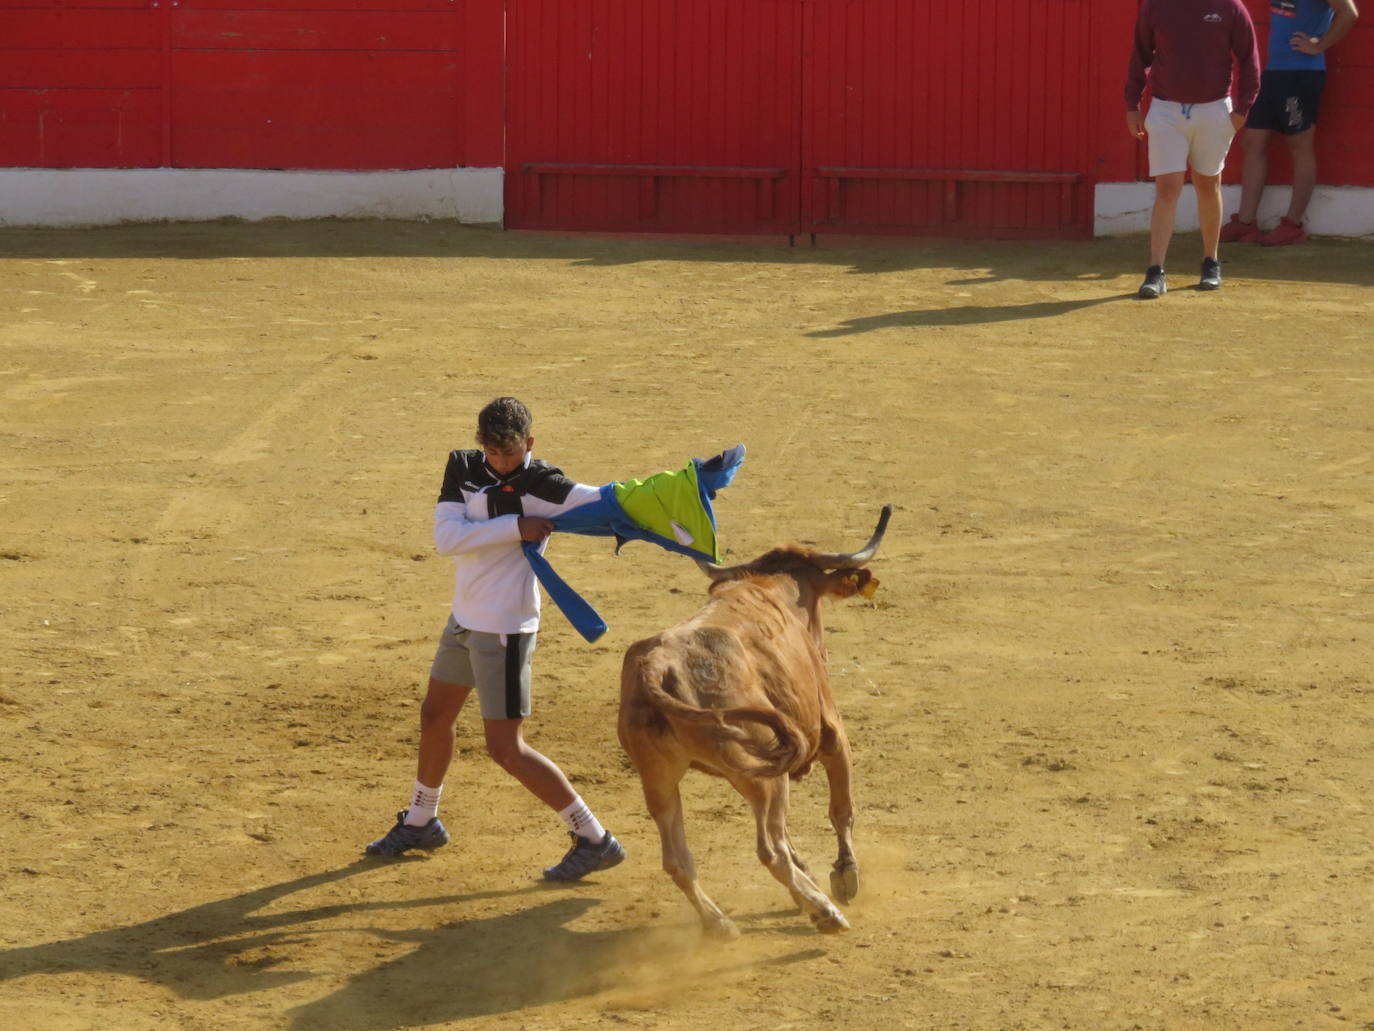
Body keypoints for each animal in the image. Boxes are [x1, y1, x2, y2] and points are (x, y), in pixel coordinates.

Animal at [615, 505, 890, 940]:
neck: (776, 589)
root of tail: (655, 668)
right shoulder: (832, 730)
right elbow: (841, 808)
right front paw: (845, 877)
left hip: (660, 778)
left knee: (678, 859)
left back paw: (721, 923)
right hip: (765, 777)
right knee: (770, 850)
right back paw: (826, 912)